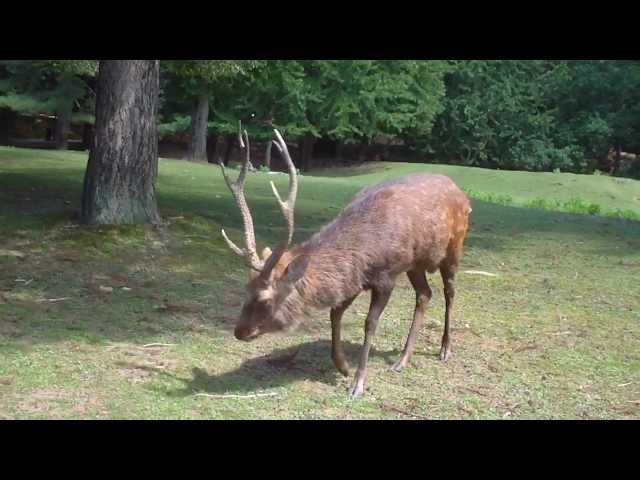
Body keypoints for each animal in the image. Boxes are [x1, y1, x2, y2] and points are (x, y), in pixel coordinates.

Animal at [218, 126, 471, 399]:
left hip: (455, 247)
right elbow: (335, 312)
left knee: (449, 292)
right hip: (415, 263)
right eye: (246, 289)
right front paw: (342, 367)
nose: (239, 331)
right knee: (424, 294)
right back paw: (402, 360)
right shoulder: (354, 279)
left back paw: (444, 349)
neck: (365, 253)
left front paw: (358, 384)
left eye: (265, 299)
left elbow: (370, 323)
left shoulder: (387, 276)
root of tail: (462, 194)